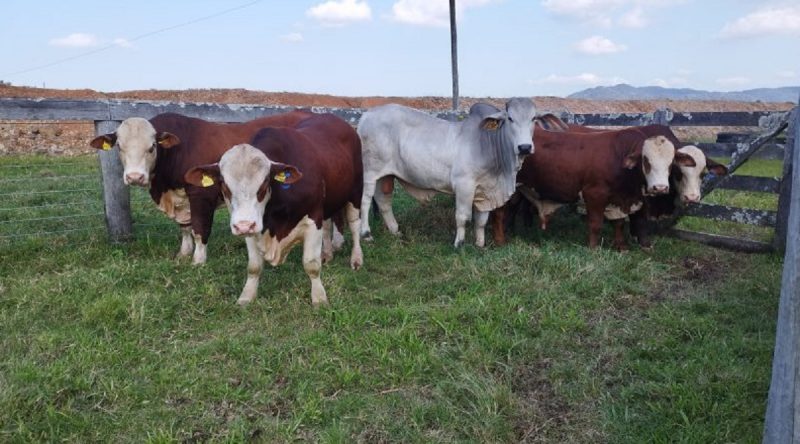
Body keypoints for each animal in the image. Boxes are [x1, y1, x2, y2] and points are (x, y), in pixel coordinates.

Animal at [89, 111, 310, 264]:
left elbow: (199, 229)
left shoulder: (201, 195)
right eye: (120, 147)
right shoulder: (182, 199)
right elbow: (185, 228)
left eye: (151, 147)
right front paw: (183, 253)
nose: (135, 177)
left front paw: (198, 260)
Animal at [184, 112, 362, 306]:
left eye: (265, 182)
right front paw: (246, 296)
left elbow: (311, 265)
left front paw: (319, 298)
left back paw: (356, 259)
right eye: (223, 183)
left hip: (355, 194)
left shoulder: (313, 217)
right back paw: (327, 254)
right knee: (329, 225)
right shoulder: (254, 225)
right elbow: (254, 267)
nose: (243, 225)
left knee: (355, 225)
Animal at [360, 98, 564, 248]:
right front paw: (459, 244)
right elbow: (463, 217)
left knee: (383, 201)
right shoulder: (464, 185)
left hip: (384, 175)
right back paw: (366, 234)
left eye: (533, 119)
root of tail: (367, 115)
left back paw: (395, 231)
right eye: (510, 118)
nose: (524, 147)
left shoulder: (485, 190)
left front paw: (480, 244)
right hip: (370, 171)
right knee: (366, 200)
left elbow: (481, 220)